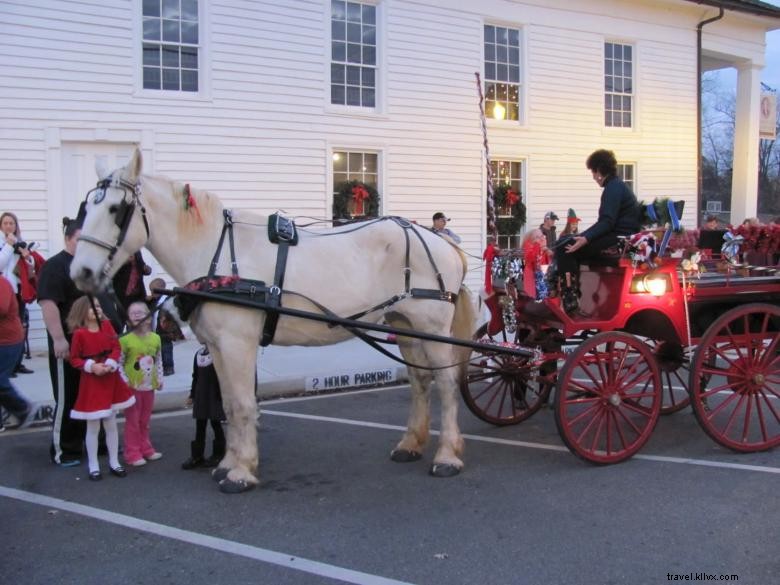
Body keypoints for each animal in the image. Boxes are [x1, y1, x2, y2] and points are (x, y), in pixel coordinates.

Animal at [71, 148, 476, 490]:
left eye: (116, 210)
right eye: (85, 208)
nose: (82, 273)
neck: (216, 253)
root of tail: (440, 240)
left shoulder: (237, 343)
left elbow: (242, 405)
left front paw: (239, 472)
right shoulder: (218, 346)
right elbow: (229, 406)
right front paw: (230, 463)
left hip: (433, 327)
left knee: (446, 384)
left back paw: (447, 456)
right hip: (404, 323)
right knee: (420, 382)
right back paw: (411, 443)